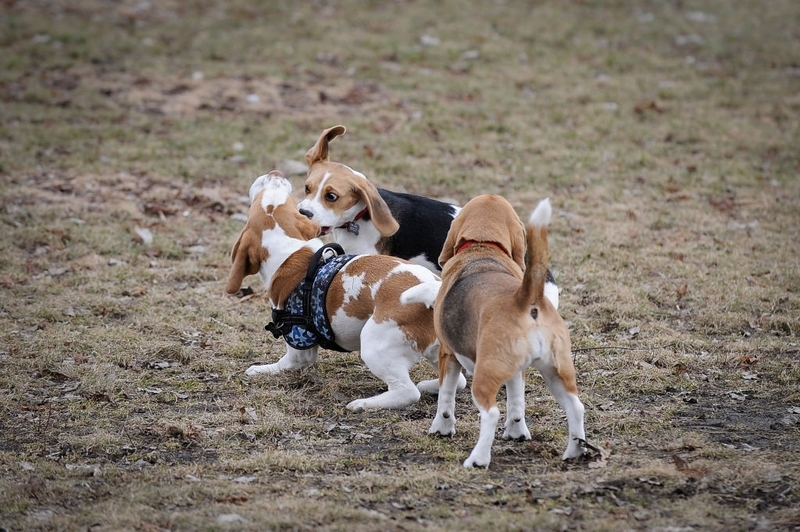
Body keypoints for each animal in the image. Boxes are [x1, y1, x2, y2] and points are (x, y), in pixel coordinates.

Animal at [410, 194, 584, 466]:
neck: (483, 247)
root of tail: (525, 299)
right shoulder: (517, 370)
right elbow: (516, 403)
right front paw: (516, 432)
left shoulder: (447, 354)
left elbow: (445, 396)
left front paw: (441, 428)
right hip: (557, 372)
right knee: (576, 408)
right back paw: (575, 451)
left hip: (486, 375)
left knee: (491, 413)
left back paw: (478, 459)